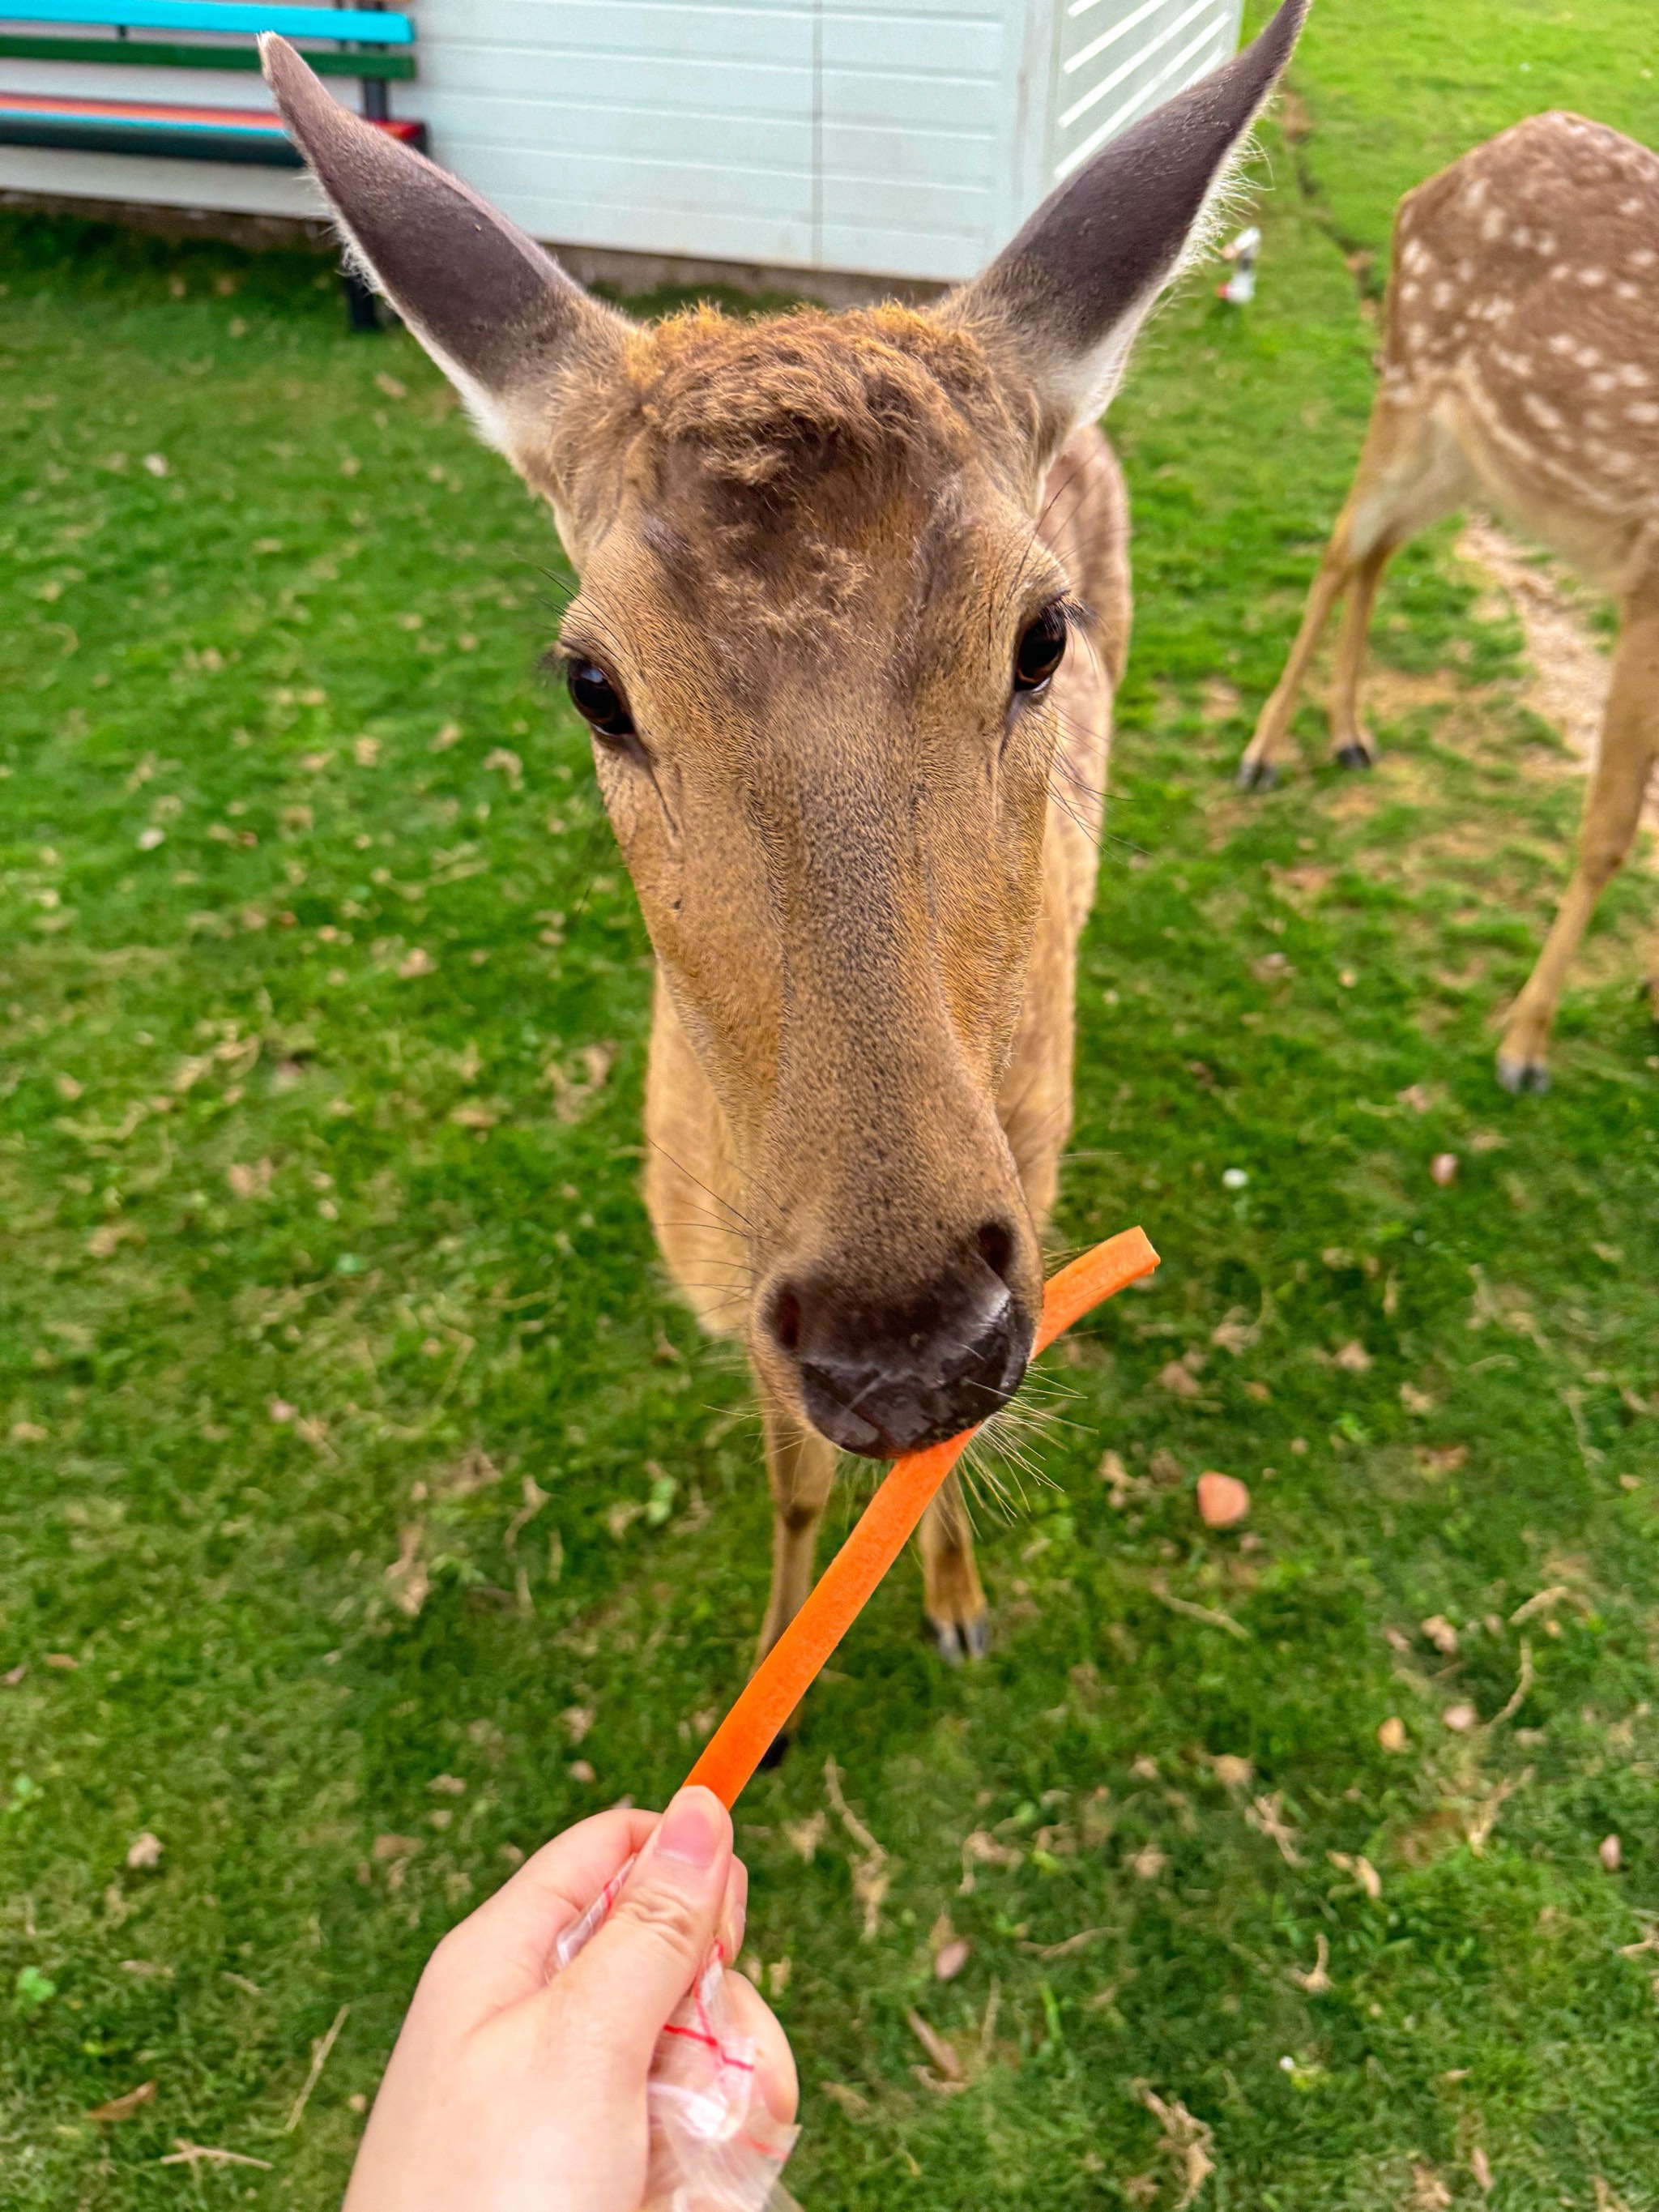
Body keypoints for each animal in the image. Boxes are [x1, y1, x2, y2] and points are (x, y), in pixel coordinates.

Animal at [262, 4, 1309, 1672]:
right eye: (592, 681)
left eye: (1040, 634)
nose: (909, 1343)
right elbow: (792, 1483)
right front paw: (775, 1651)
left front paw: (954, 1607)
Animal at [1247, 112, 1659, 1097]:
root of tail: (1433, 182)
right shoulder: (1649, 587)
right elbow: (1610, 829)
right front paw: (1523, 1046)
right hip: (1409, 379)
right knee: (1341, 543)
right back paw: (1262, 753)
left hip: (1468, 454)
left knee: (1379, 548)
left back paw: (1349, 736)